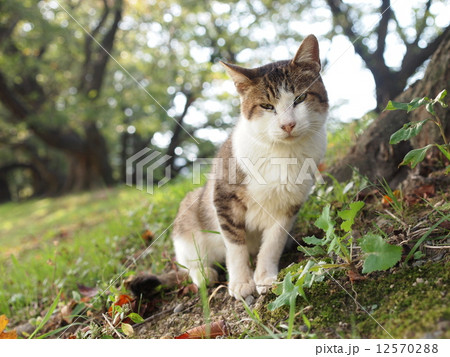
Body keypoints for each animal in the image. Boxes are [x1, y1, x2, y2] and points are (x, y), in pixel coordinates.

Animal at [130, 34, 326, 298]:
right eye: (267, 106)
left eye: (300, 98)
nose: (288, 125)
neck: (282, 153)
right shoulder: (223, 195)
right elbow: (234, 244)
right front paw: (242, 282)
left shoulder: (289, 206)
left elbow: (272, 243)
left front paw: (265, 277)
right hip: (189, 216)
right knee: (189, 262)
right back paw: (204, 273)